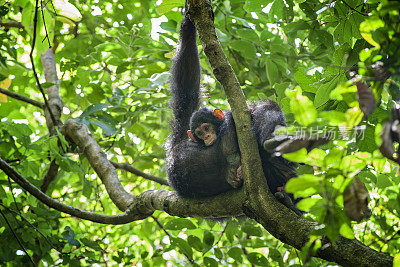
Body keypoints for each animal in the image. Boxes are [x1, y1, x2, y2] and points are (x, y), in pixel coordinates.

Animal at [164, 10, 298, 215]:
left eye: (206, 128)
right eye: (200, 132)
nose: (206, 136)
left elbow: (187, 89)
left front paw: (187, 23)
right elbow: (187, 91)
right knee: (268, 108)